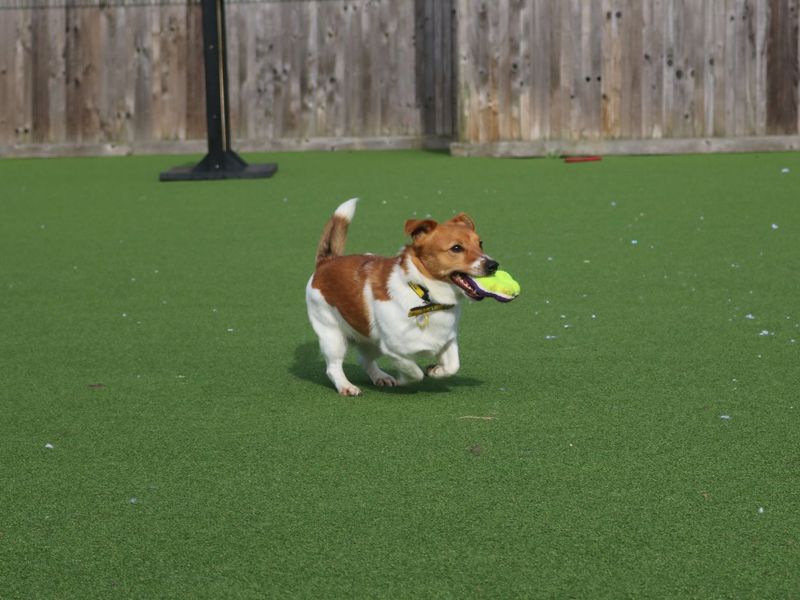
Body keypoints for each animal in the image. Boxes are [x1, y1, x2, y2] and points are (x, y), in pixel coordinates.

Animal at [308, 199, 500, 396]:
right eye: (456, 248)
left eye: (480, 243)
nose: (493, 265)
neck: (427, 296)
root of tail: (327, 261)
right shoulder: (394, 350)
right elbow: (414, 372)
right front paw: (404, 379)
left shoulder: (448, 340)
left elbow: (453, 365)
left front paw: (436, 370)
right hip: (333, 336)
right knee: (333, 367)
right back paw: (346, 386)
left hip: (369, 337)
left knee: (365, 360)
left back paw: (380, 377)